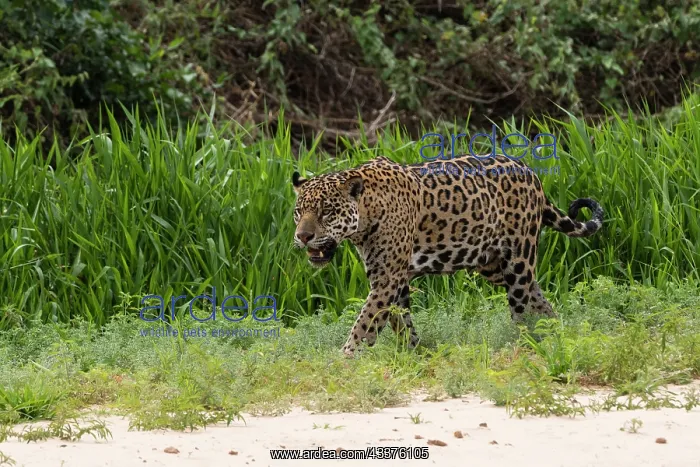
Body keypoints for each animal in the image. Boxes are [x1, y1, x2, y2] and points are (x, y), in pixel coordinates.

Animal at [291, 154, 603, 357]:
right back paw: (555, 333)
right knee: (539, 298)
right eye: (298, 212)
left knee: (521, 310)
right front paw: (413, 354)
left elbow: (365, 322)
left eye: (327, 212)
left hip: (518, 260)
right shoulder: (395, 279)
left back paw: (524, 346)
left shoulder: (387, 279)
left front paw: (344, 359)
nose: (302, 236)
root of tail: (530, 171)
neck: (367, 213)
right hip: (495, 265)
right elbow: (399, 321)